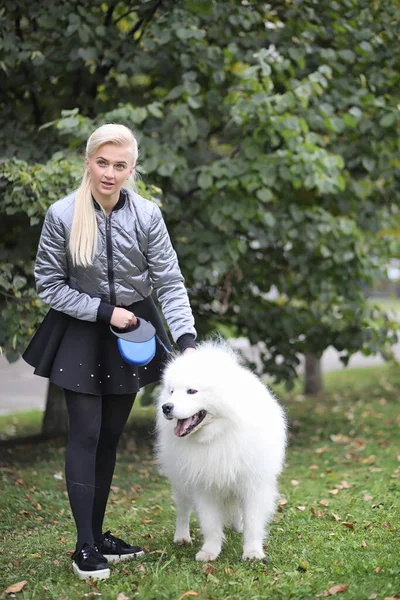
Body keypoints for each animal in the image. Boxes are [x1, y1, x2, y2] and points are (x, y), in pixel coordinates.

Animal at [154, 342, 288, 564]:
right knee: (183, 509)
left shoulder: (253, 483)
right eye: (172, 391)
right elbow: (209, 523)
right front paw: (209, 551)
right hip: (181, 481)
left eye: (192, 391)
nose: (166, 407)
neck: (218, 433)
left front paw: (252, 552)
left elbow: (253, 521)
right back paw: (182, 537)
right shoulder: (204, 484)